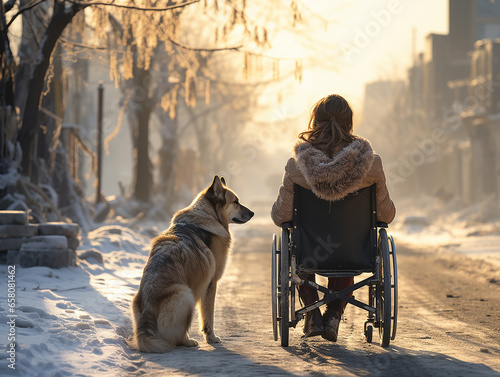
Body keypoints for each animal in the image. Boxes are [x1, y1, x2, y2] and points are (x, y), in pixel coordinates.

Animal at [129, 175, 254, 352]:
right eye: (235, 202)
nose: (253, 213)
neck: (208, 215)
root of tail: (147, 309)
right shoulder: (210, 284)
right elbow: (208, 316)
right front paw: (211, 338)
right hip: (186, 295)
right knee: (179, 336)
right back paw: (188, 341)